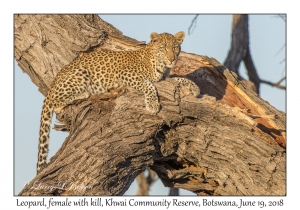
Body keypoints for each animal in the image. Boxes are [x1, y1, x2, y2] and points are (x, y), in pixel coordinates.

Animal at [37, 31, 200, 174]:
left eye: (175, 47)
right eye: (163, 48)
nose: (171, 59)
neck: (159, 64)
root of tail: (53, 84)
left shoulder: (164, 79)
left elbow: (177, 79)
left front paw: (194, 87)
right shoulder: (127, 74)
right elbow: (148, 84)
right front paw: (153, 104)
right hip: (79, 74)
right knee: (57, 101)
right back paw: (86, 92)